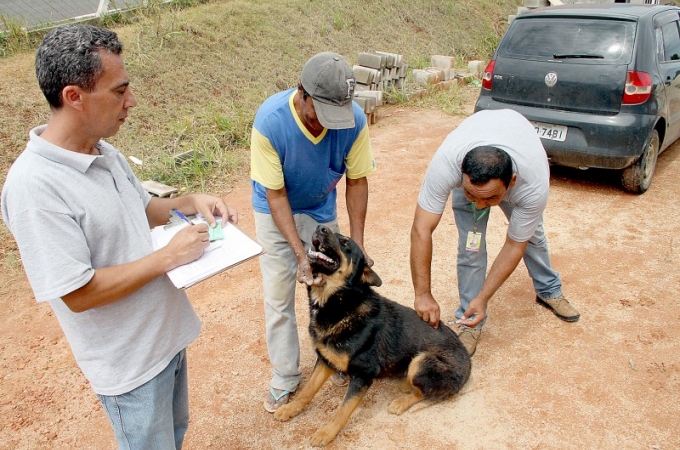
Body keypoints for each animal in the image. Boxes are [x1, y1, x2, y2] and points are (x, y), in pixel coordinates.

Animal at [274, 225, 470, 446]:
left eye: (345, 243)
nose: (320, 227)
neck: (341, 304)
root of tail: (468, 362)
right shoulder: (325, 360)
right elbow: (307, 390)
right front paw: (291, 409)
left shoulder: (363, 374)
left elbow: (343, 410)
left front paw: (326, 432)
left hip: (422, 361)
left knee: (424, 392)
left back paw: (401, 402)